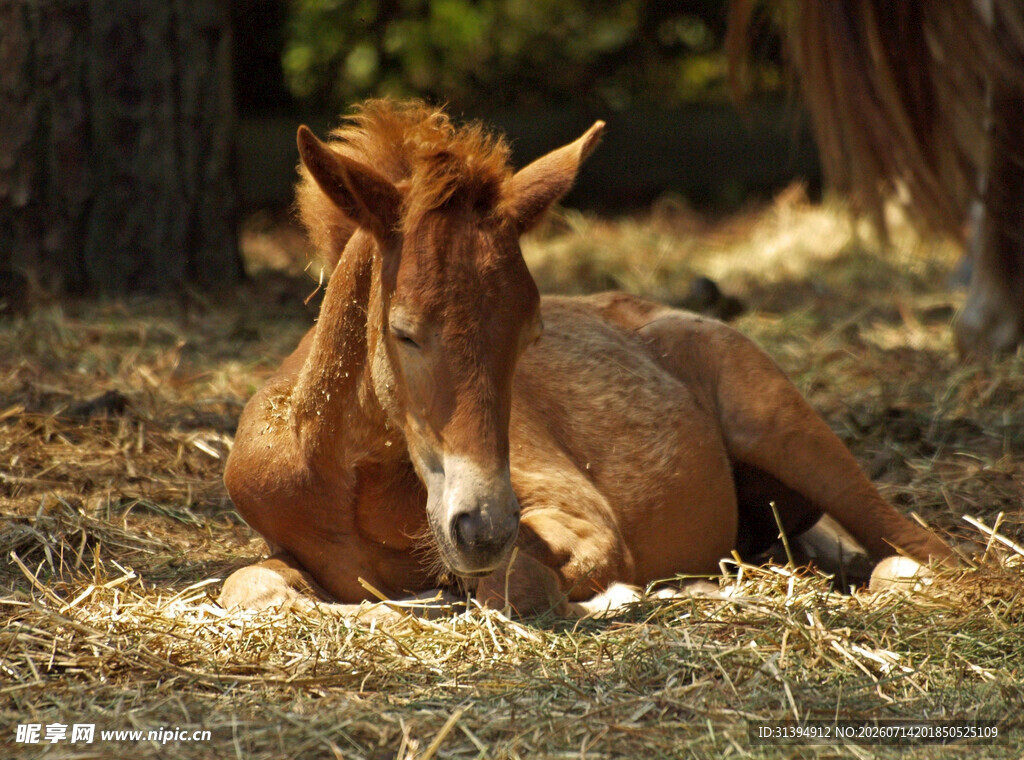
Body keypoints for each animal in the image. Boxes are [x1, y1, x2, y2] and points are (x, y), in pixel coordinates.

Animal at [219, 100, 953, 617]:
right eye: (403, 332)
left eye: (530, 333)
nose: (483, 528)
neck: (349, 484)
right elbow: (249, 587)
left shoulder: (582, 519)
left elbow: (516, 585)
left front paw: (616, 594)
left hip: (786, 429)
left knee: (924, 548)